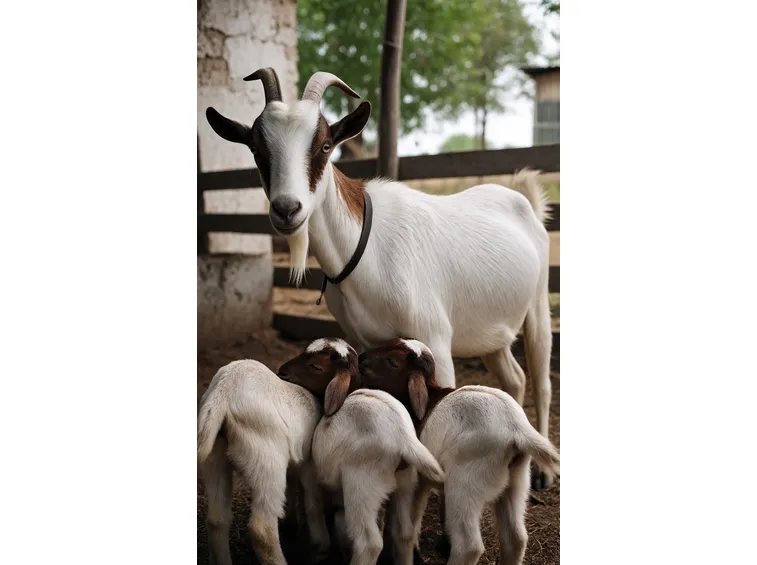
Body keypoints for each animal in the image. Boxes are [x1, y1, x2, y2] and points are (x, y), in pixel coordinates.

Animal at [197, 357, 330, 565]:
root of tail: (223, 395)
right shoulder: (309, 464)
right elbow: (313, 500)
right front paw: (321, 546)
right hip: (267, 457)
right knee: (262, 529)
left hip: (214, 456)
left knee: (217, 519)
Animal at [205, 67, 554, 488]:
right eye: (257, 148)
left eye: (325, 145)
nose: (287, 209)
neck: (365, 248)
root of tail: (524, 200)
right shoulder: (365, 342)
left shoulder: (436, 339)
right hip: (489, 330)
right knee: (515, 377)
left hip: (538, 305)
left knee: (542, 379)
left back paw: (542, 473)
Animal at [278, 337, 445, 565]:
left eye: (315, 366)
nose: (282, 371)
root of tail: (403, 437)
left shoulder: (311, 475)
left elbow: (314, 509)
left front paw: (318, 549)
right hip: (404, 483)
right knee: (404, 533)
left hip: (361, 485)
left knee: (369, 543)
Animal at [358, 338, 561, 565]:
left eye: (393, 362)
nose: (361, 358)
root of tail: (517, 429)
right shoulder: (424, 481)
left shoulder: (413, 477)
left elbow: (405, 526)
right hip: (517, 480)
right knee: (516, 538)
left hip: (465, 484)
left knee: (469, 546)